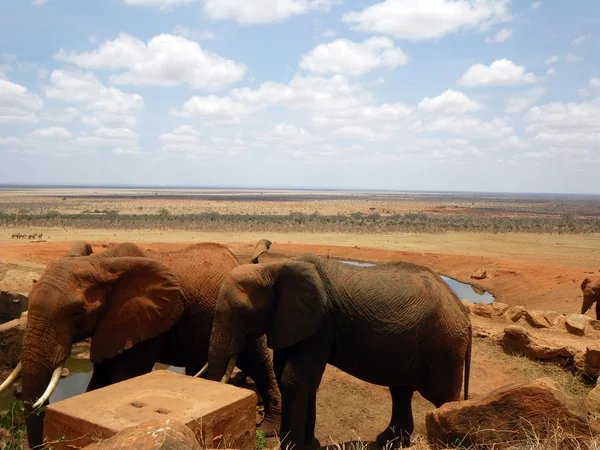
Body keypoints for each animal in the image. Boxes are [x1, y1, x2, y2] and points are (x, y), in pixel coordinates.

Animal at [200, 255, 474, 448]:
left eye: (242, 314)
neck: (272, 268)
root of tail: (464, 313)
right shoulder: (293, 322)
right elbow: (298, 378)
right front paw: (309, 445)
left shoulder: (319, 324)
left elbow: (294, 379)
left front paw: (292, 447)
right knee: (401, 392)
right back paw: (388, 442)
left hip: (444, 347)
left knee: (442, 397)